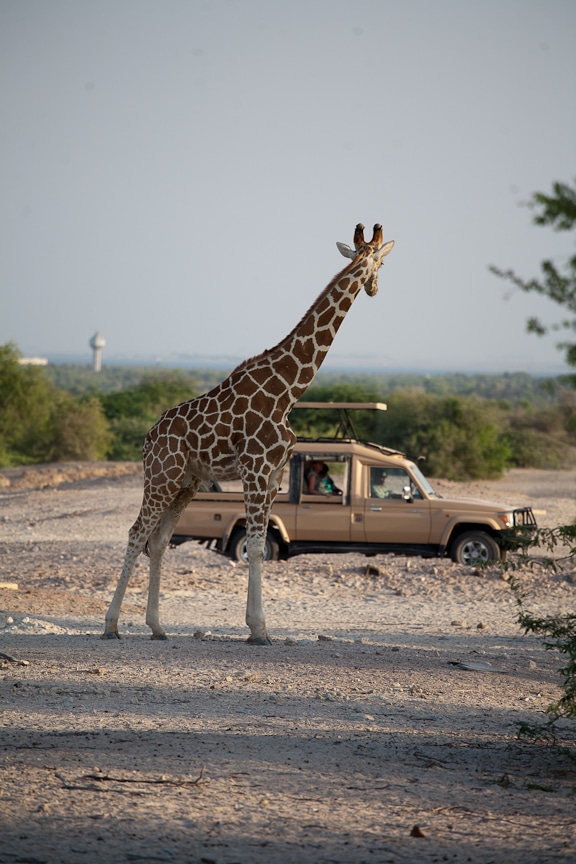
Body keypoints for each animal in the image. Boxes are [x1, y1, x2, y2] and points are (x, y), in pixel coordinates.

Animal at [102, 223, 392, 640]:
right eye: (379, 262)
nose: (374, 289)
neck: (288, 389)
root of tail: (148, 438)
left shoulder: (272, 475)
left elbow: (257, 546)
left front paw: (259, 628)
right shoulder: (255, 469)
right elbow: (255, 548)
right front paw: (259, 630)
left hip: (186, 482)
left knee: (158, 541)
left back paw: (157, 627)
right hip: (161, 476)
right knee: (136, 533)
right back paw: (111, 625)